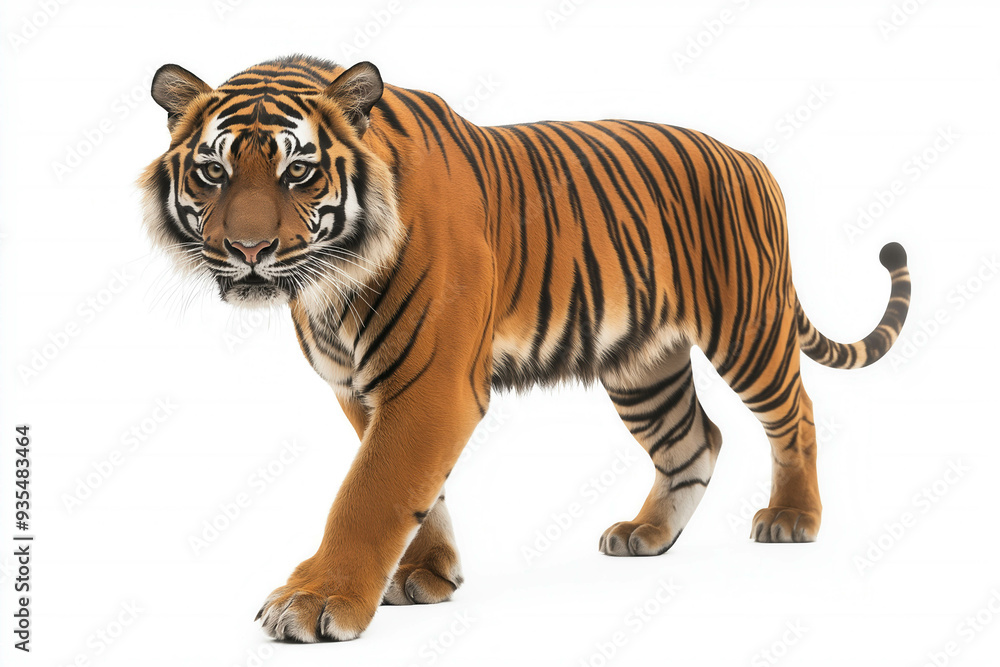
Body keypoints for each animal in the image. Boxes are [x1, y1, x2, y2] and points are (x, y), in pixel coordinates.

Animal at [140, 55, 911, 642]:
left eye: (297, 173)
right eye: (213, 173)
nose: (247, 250)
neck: (331, 279)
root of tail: (750, 159)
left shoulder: (431, 382)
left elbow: (371, 491)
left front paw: (317, 602)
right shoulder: (365, 387)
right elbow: (417, 489)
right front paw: (427, 575)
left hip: (748, 327)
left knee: (795, 417)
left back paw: (793, 518)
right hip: (642, 365)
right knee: (696, 440)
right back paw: (647, 533)